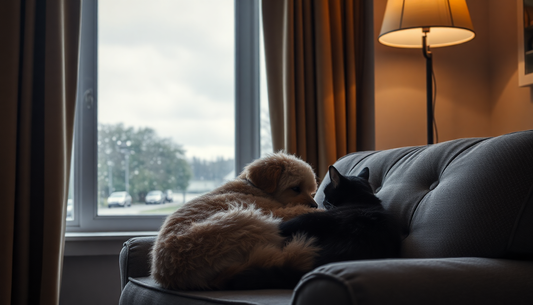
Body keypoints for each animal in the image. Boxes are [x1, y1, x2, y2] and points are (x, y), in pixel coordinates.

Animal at [152, 152, 322, 290]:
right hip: (250, 220)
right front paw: (318, 211)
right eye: (295, 188)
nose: (315, 204)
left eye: (311, 191)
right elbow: (296, 210)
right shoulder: (275, 211)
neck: (254, 188)